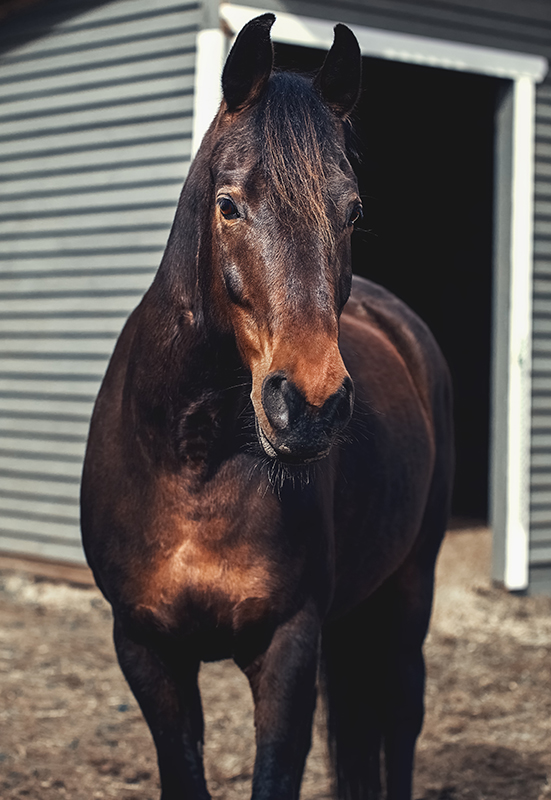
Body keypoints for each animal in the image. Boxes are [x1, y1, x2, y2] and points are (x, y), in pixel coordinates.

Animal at [80, 14, 454, 800]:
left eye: (352, 211)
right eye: (229, 205)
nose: (308, 403)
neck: (194, 462)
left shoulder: (286, 648)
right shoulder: (146, 650)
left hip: (411, 585)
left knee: (401, 716)